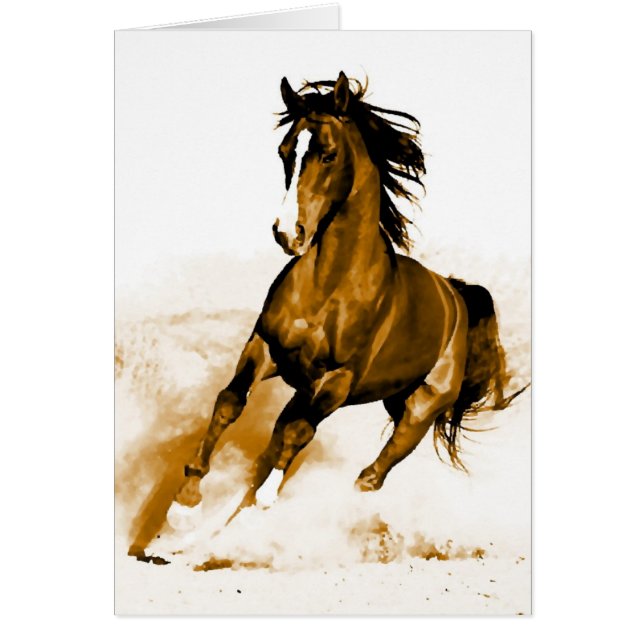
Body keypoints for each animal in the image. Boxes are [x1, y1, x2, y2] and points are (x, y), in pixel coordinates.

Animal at [170, 71, 524, 522]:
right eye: (284, 152)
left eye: (328, 155)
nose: (287, 233)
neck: (329, 287)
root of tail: (456, 295)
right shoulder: (266, 347)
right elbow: (231, 402)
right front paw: (186, 500)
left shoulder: (337, 380)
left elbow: (297, 432)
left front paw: (264, 498)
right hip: (362, 395)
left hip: (419, 408)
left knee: (376, 466)